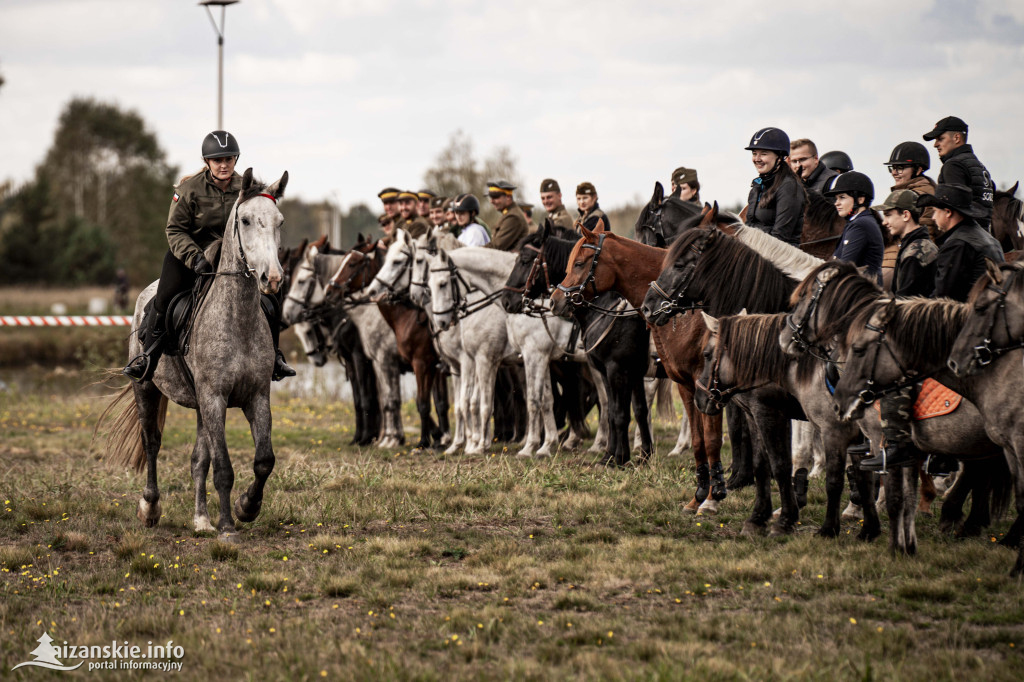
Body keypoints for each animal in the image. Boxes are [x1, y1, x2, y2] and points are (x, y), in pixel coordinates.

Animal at [105, 166, 288, 532]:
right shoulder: (214, 398)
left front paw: (247, 507)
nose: (272, 279)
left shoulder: (256, 396)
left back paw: (201, 519)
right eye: (246, 220)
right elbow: (224, 468)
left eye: (279, 221)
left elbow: (263, 460)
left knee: (198, 459)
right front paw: (229, 527)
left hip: (202, 405)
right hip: (146, 387)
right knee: (152, 443)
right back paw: (150, 508)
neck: (237, 319)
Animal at [552, 225, 729, 512]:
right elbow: (630, 411)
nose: (554, 300)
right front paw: (631, 455)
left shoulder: (618, 371)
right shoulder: (627, 374)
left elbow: (619, 414)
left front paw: (618, 457)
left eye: (579, 263)